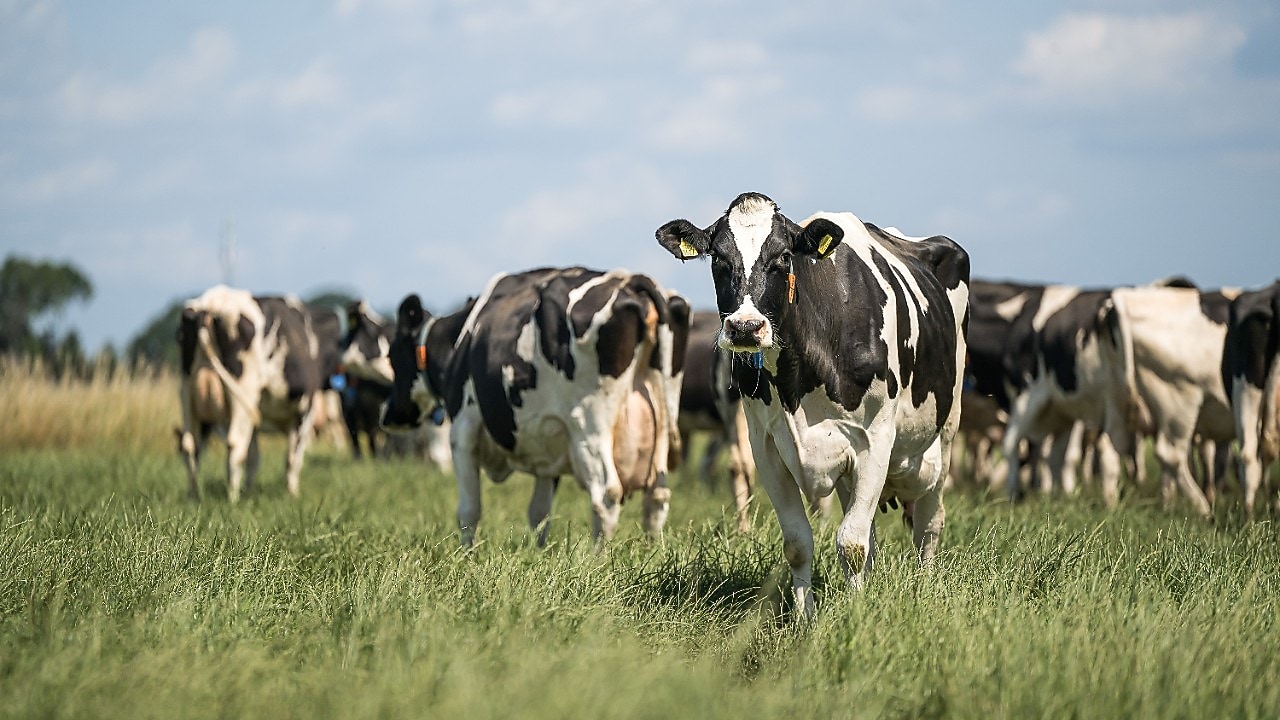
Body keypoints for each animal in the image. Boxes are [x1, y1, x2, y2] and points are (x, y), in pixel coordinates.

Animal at [176, 285, 327, 502]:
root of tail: (212, 302)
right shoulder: (306, 411)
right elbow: (293, 457)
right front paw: (292, 493)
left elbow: (253, 457)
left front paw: (249, 491)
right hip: (242, 392)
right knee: (235, 445)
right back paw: (233, 499)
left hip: (188, 394)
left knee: (191, 446)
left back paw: (194, 496)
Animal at [381, 267, 689, 546]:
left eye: (393, 356)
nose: (388, 415)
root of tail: (629, 279)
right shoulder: (549, 441)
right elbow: (539, 513)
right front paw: (539, 552)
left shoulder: (463, 430)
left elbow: (469, 510)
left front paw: (465, 554)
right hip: (661, 423)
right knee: (657, 496)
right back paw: (652, 552)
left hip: (589, 426)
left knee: (606, 494)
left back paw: (597, 559)